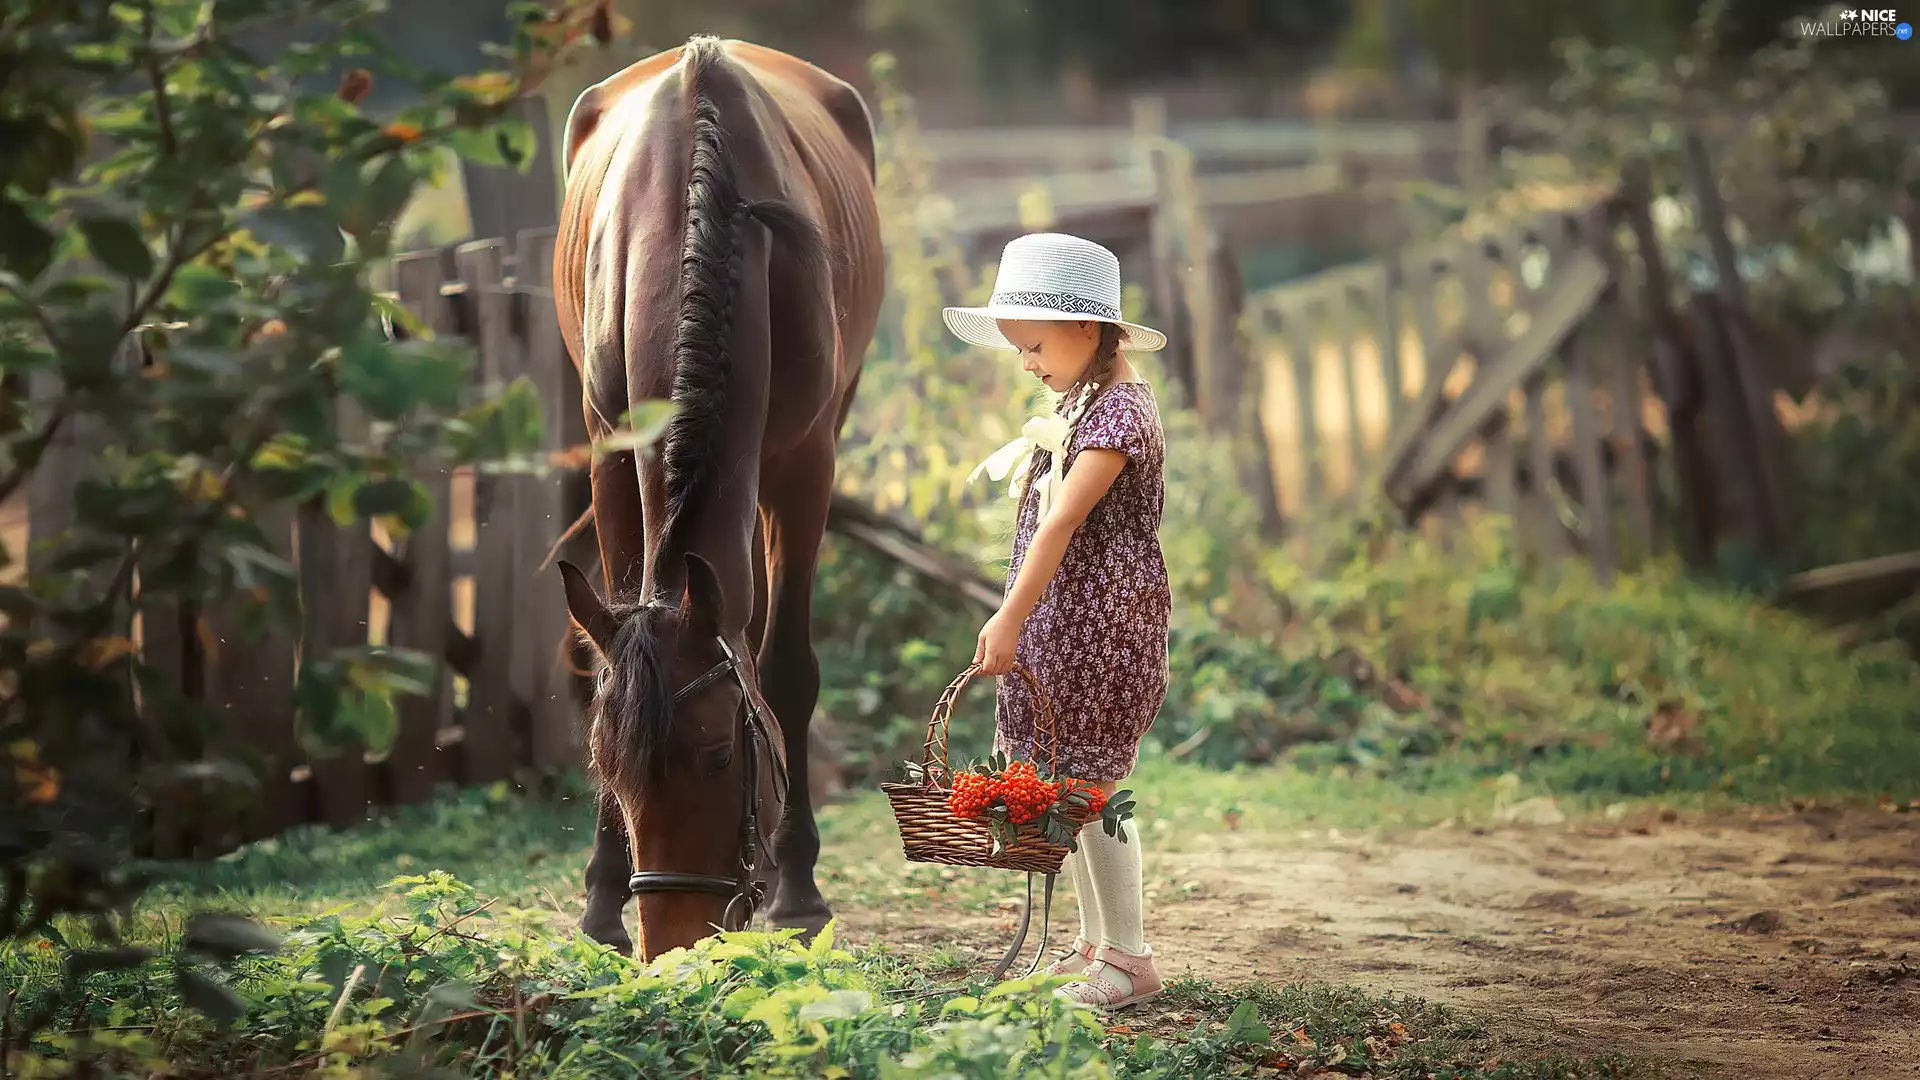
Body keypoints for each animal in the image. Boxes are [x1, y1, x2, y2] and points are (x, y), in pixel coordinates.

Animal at [548, 36, 884, 960]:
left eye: (719, 761)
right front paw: (601, 899)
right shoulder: (610, 452)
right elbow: (612, 654)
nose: (672, 943)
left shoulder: (806, 464)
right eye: (610, 766)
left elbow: (785, 669)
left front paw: (797, 890)